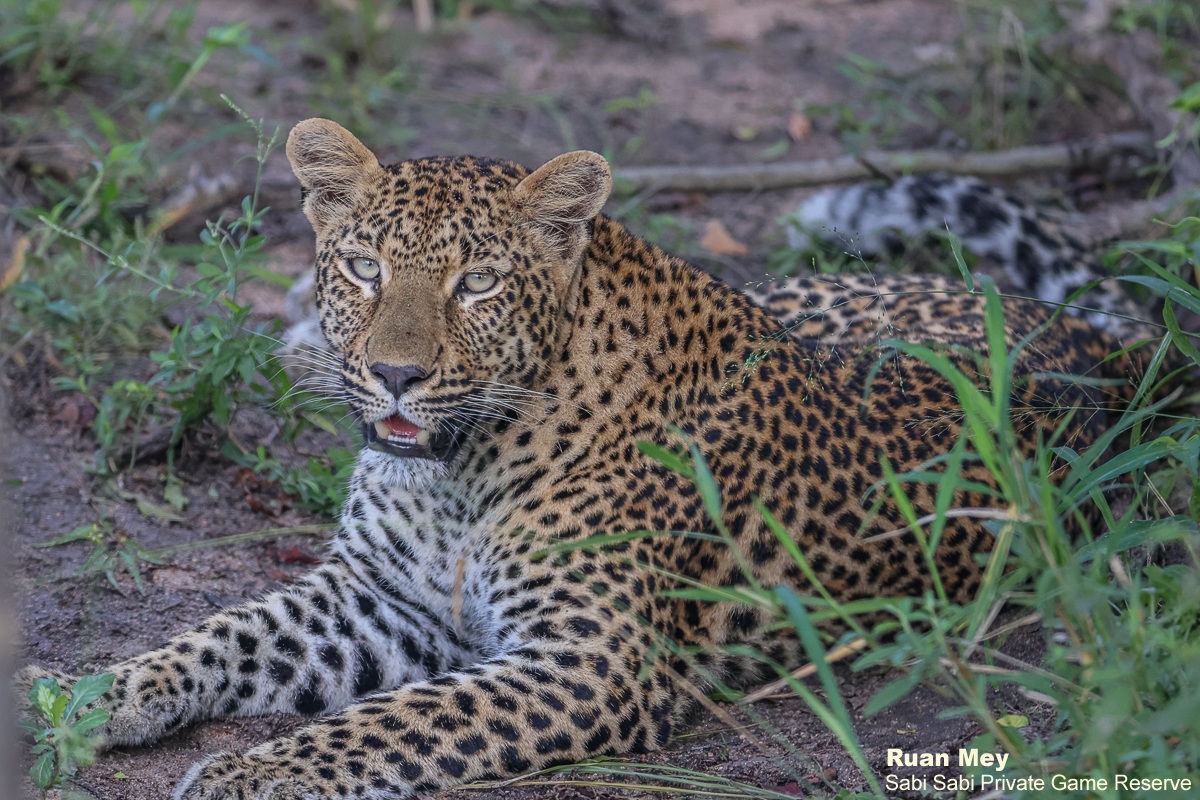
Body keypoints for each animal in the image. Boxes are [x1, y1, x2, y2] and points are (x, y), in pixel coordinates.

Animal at [16, 118, 1151, 800]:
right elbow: (218, 634)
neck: (455, 472)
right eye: (367, 266)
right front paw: (83, 697)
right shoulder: (376, 596)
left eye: (476, 284)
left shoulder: (587, 660)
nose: (392, 373)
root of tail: (1102, 348)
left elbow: (391, 721)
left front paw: (247, 777)